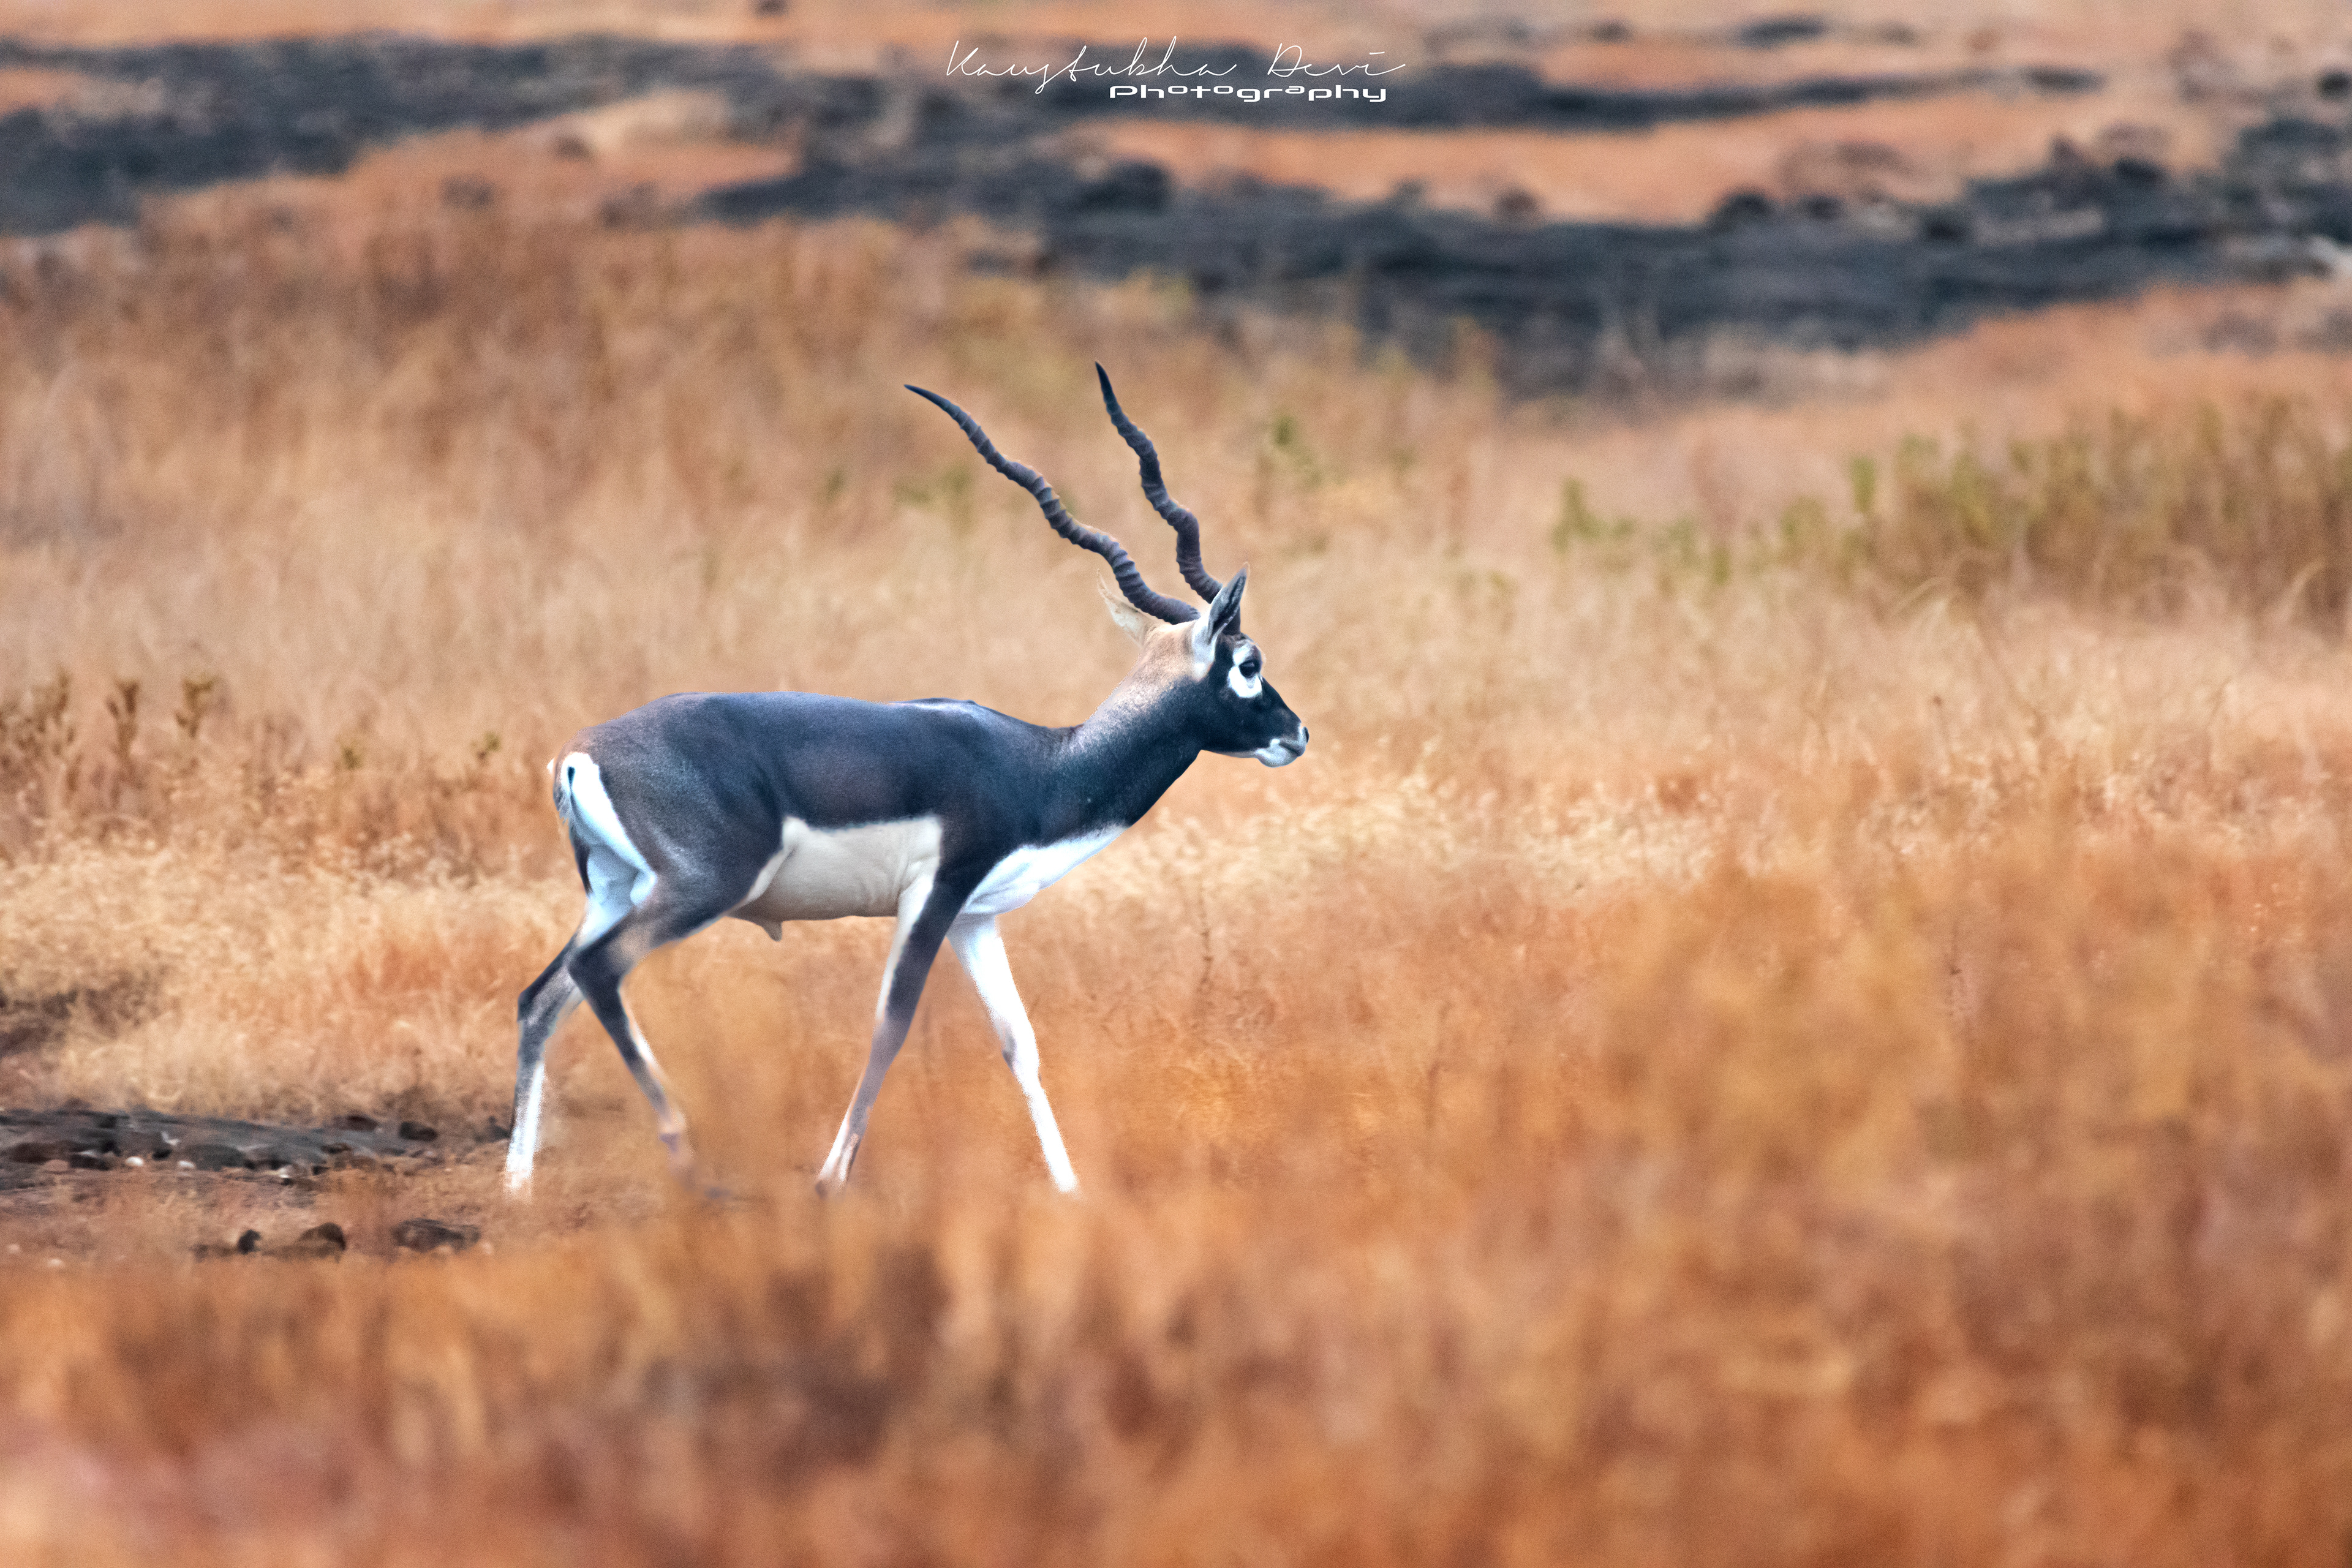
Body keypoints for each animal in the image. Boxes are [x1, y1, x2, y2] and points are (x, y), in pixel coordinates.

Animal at [504, 368, 1308, 1196]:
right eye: (1249, 664)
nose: (1296, 733)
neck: (1041, 767)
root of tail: (582, 754)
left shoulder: (975, 919)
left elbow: (1020, 1042)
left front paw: (1070, 1190)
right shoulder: (935, 895)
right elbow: (890, 1026)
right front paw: (829, 1183)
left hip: (615, 888)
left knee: (543, 995)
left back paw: (518, 1185)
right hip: (700, 888)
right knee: (598, 971)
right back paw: (689, 1161)